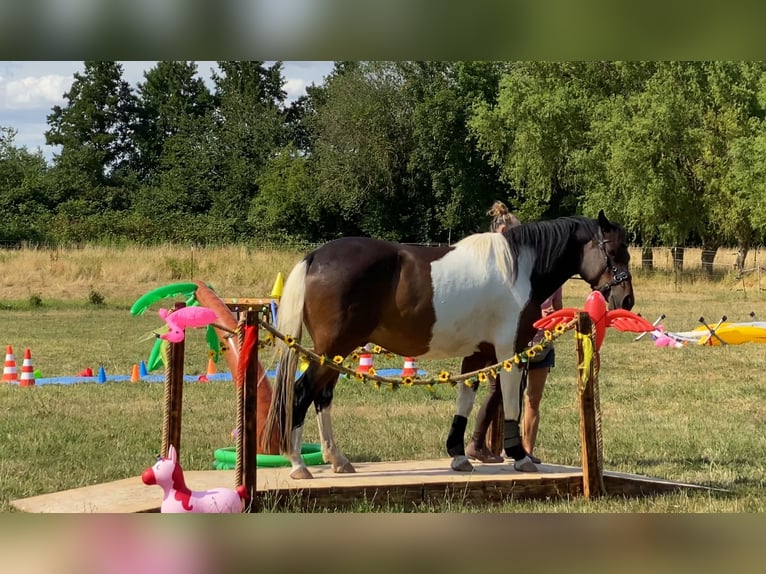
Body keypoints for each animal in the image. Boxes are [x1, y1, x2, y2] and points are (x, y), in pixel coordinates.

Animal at [263, 210, 635, 479]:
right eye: (615, 251)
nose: (627, 299)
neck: (519, 269)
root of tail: (316, 257)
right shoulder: (510, 350)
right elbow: (510, 401)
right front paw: (519, 455)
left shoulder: (479, 353)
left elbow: (466, 399)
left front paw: (457, 454)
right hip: (332, 350)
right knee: (301, 393)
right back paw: (299, 464)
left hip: (337, 353)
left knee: (322, 397)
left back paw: (337, 459)